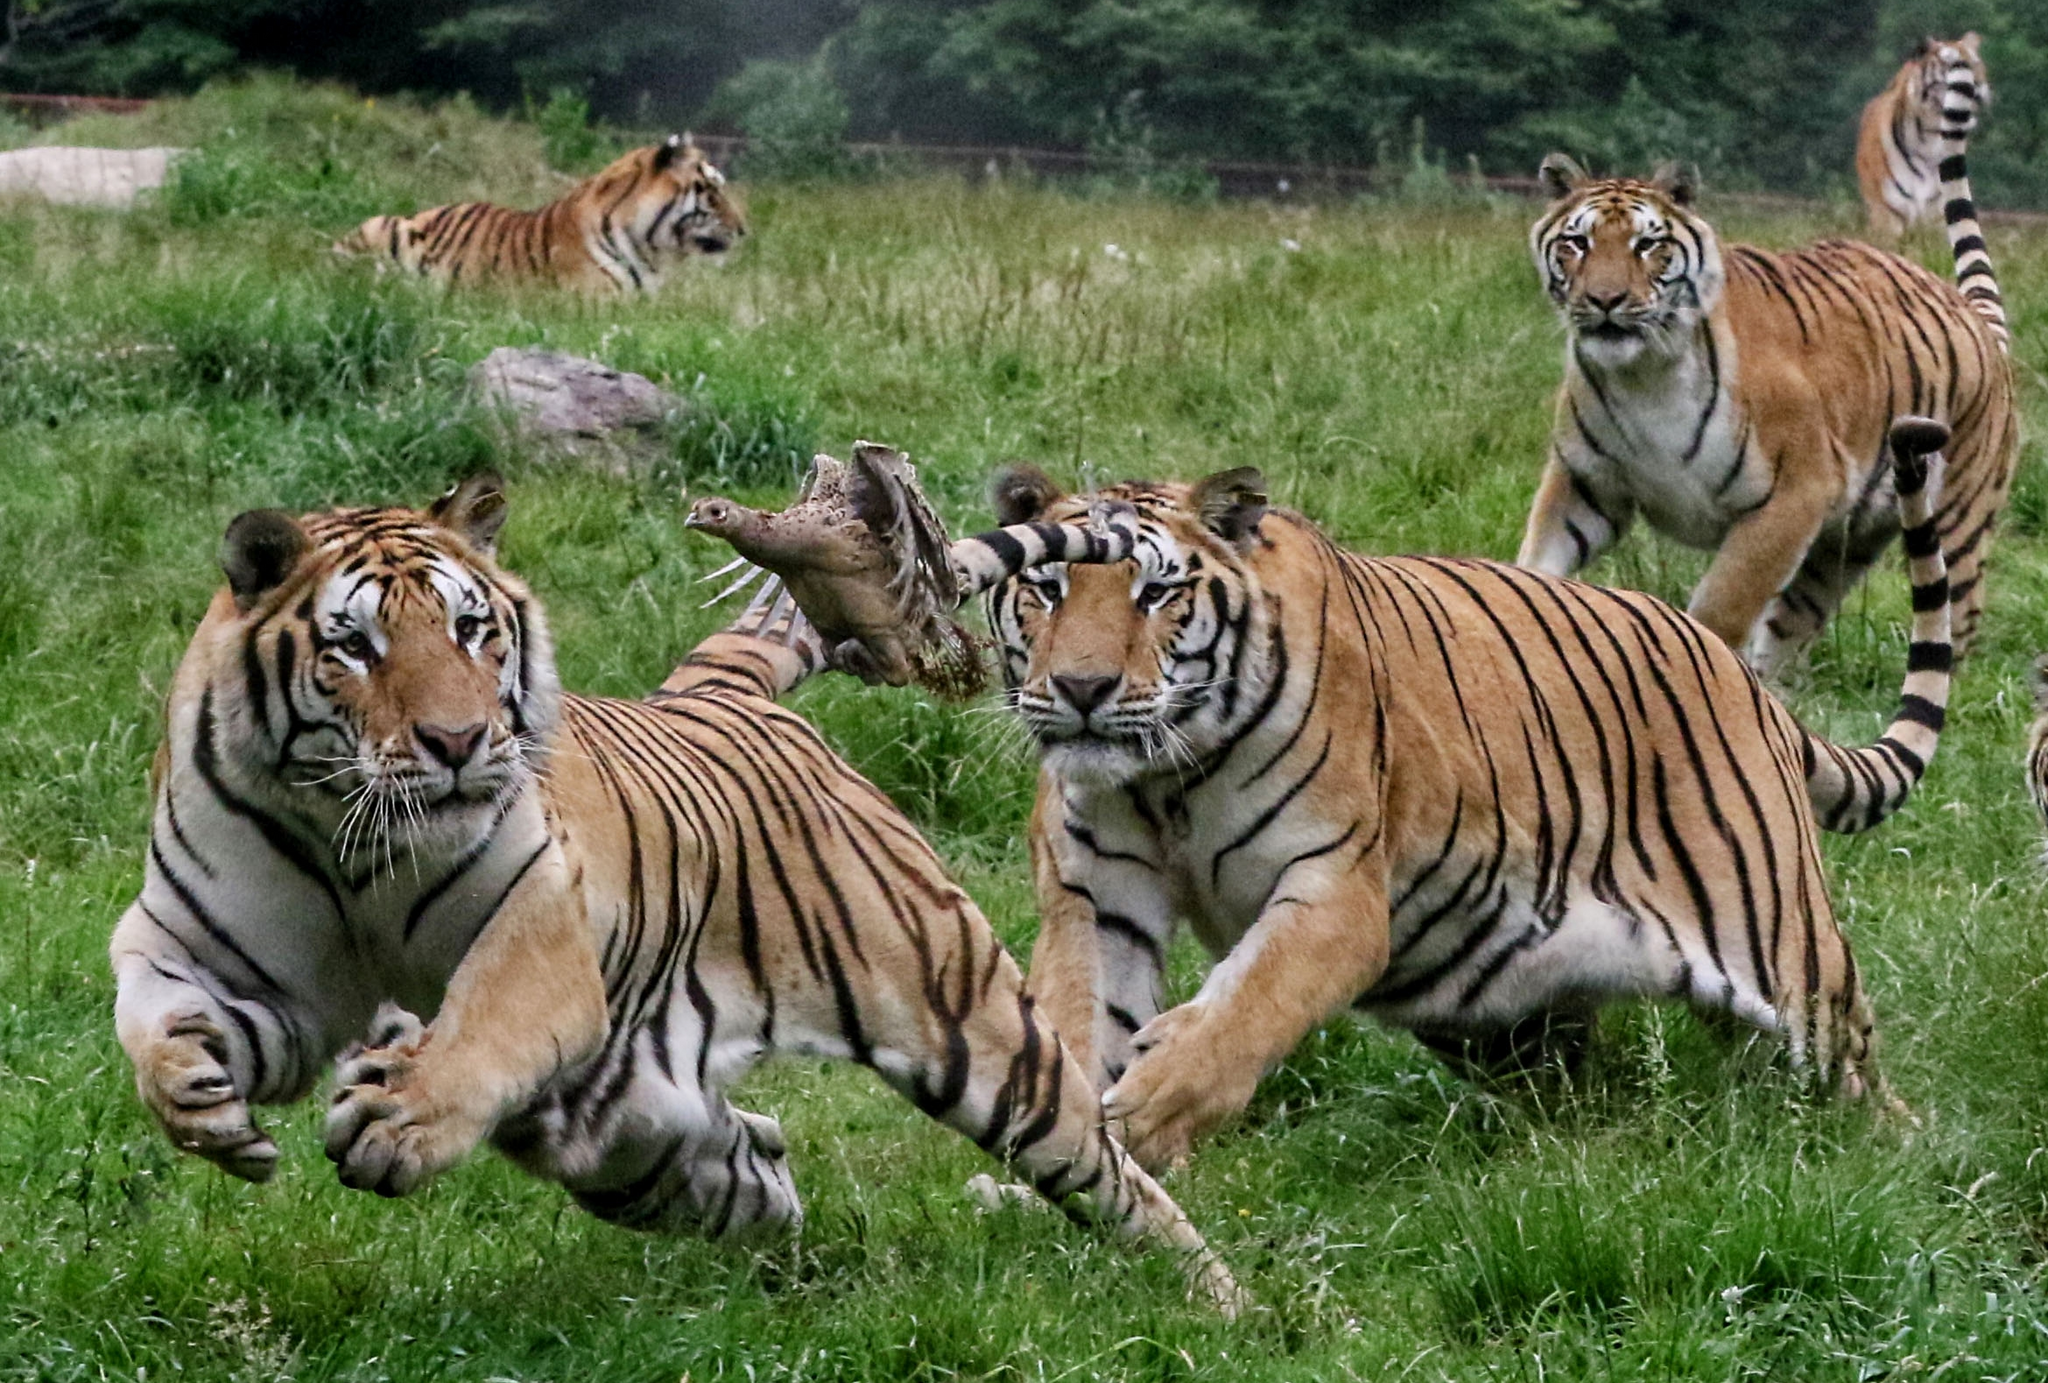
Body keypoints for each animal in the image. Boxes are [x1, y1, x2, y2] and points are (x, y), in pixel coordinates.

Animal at [112, 475, 1236, 1311]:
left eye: (472, 630)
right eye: (355, 645)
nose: (458, 742)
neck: (348, 837)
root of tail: (715, 689)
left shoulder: (542, 935)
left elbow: (478, 1031)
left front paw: (397, 1118)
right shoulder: (197, 948)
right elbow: (152, 1021)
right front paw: (204, 1107)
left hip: (967, 1020)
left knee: (1101, 1164)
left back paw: (1219, 1300)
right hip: (623, 1126)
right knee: (747, 1157)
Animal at [974, 415, 1949, 1171]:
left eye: (1156, 593)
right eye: (1047, 589)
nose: (1084, 689)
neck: (1165, 777)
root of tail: (1748, 682)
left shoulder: (1335, 893)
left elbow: (1247, 1009)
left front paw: (1150, 1106)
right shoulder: (1096, 893)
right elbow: (1080, 1017)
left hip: (1794, 969)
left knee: (1862, 1083)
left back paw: (1911, 1161)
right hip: (1498, 1010)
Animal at [1523, 143, 2015, 680]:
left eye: (1647, 245)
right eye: (1578, 242)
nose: (1605, 300)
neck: (1644, 376)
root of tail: (1971, 313)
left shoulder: (1796, 494)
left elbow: (1722, 608)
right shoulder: (1586, 482)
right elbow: (1536, 565)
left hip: (1956, 530)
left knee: (1950, 632)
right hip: (1839, 550)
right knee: (1791, 632)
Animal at [1867, 35, 1990, 243]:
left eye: (1976, 63)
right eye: (1952, 64)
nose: (1979, 85)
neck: (1930, 135)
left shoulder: (1938, 217)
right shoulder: (1888, 213)